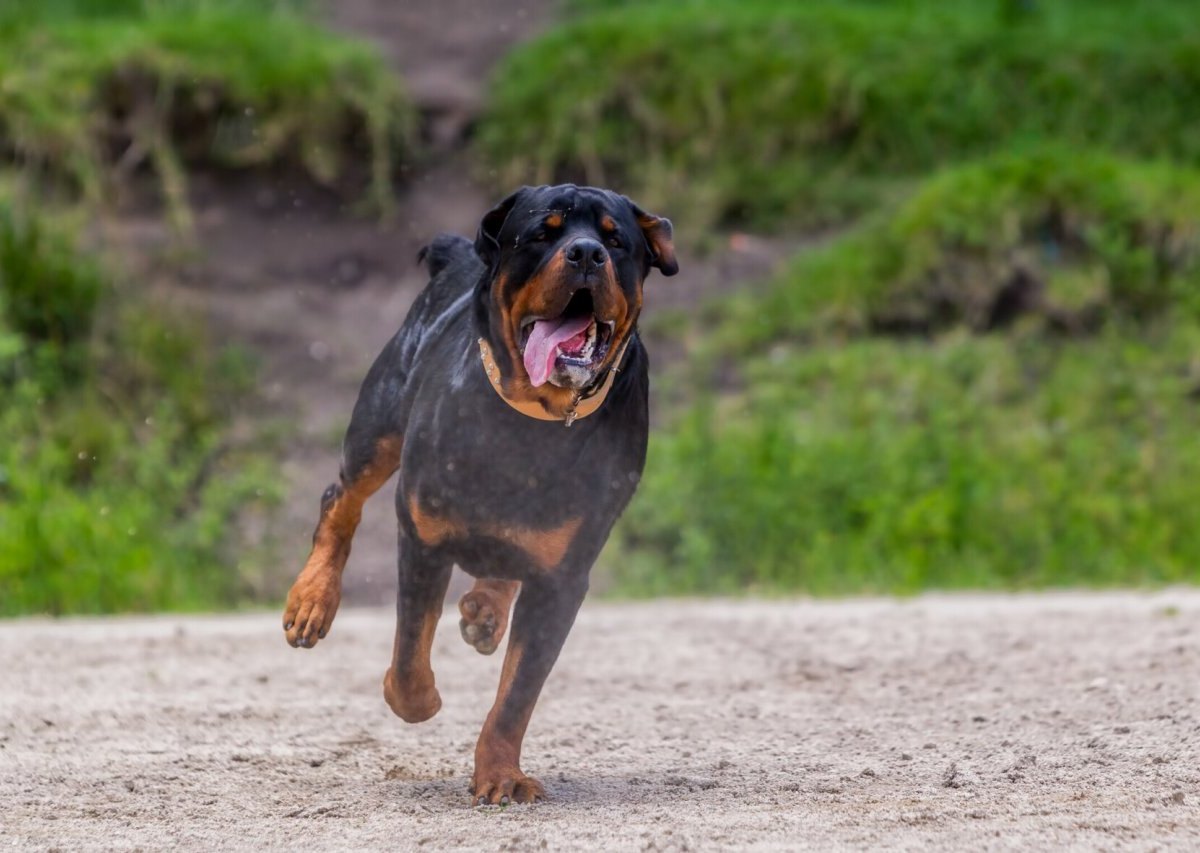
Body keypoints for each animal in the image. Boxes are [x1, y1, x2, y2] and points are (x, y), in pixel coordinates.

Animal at [280, 183, 676, 806]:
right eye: (543, 232)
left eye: (616, 241)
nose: (587, 254)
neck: (532, 420)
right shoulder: (422, 535)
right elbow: (410, 652)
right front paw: (415, 699)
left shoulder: (563, 579)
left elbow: (517, 693)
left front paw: (500, 774)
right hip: (379, 424)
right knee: (340, 496)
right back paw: (312, 599)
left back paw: (486, 609)